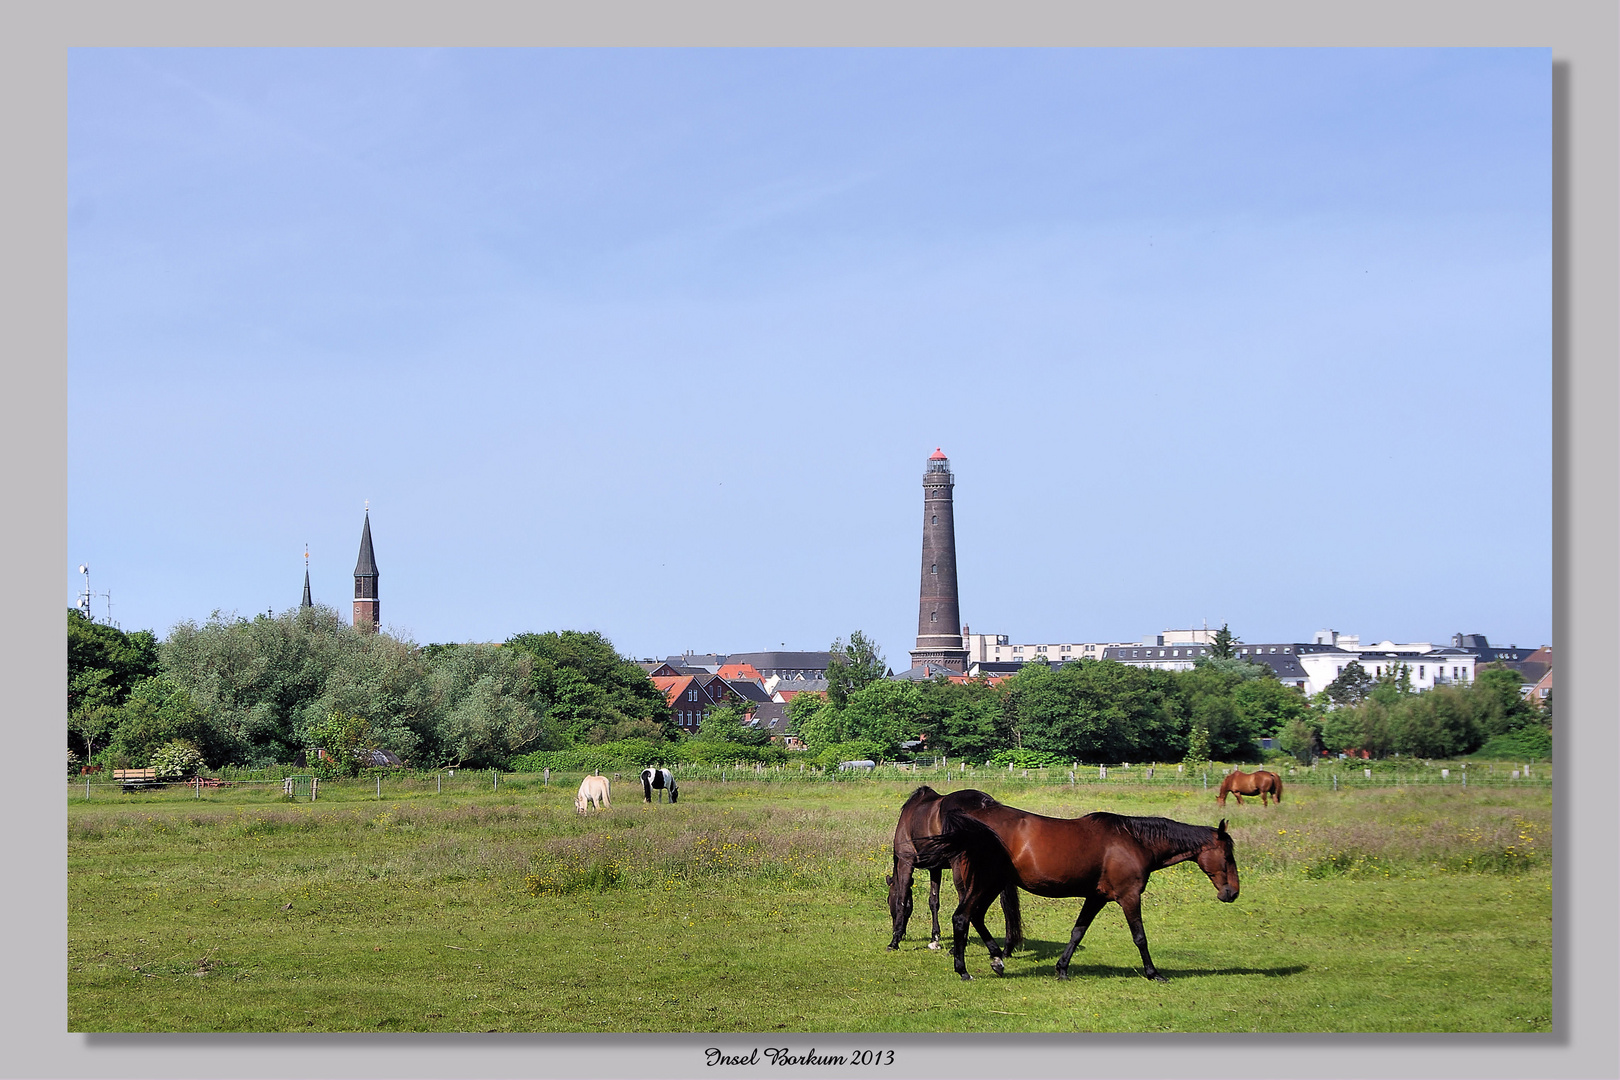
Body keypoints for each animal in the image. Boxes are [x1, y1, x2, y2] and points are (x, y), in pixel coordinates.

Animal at [887, 786, 1023, 952]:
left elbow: (902, 899)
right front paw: (935, 939)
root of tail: (985, 803)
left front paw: (895, 940)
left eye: (888, 899)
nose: (895, 928)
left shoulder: (905, 862)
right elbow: (933, 901)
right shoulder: (935, 868)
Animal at [920, 790, 1244, 984]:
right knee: (962, 917)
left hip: (990, 884)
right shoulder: (1129, 897)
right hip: (987, 883)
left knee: (973, 916)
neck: (1133, 841)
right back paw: (965, 970)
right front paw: (1154, 973)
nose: (1232, 893)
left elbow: (1078, 932)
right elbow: (1140, 937)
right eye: (1228, 855)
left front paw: (1062, 968)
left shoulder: (1096, 897)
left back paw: (996, 959)